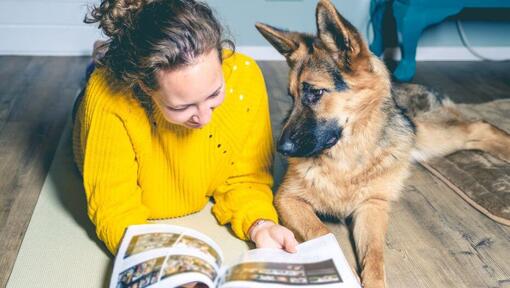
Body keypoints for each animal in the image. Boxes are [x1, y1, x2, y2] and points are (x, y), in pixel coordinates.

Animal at [256, 1, 510, 286]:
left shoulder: (372, 205)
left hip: (428, 136)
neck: (346, 158)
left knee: (479, 125)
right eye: (292, 97)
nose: (282, 149)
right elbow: (322, 231)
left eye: (316, 92)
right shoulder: (287, 199)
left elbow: (375, 254)